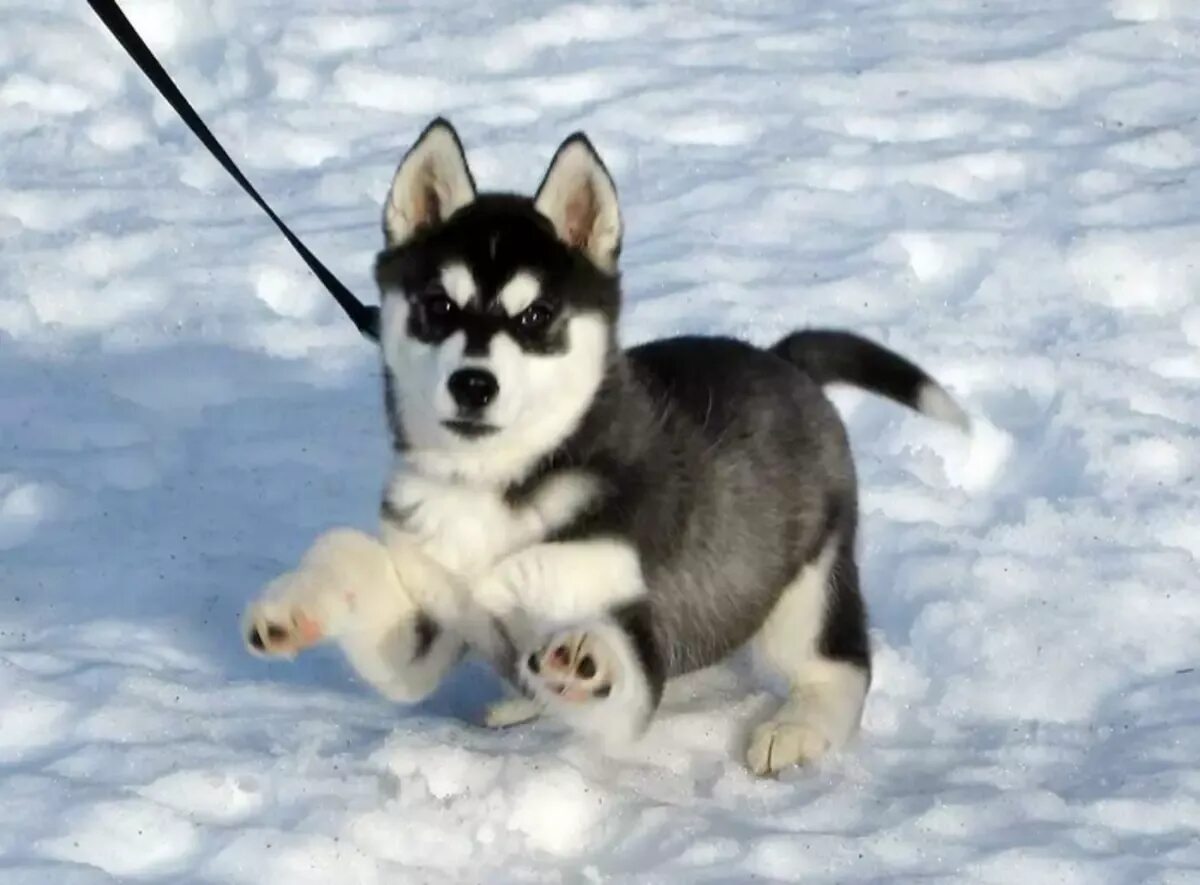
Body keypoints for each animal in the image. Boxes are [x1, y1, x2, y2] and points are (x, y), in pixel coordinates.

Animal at [243, 118, 964, 772]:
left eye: (537, 316)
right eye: (438, 306)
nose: (473, 384)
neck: (496, 484)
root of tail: (781, 358)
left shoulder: (631, 626)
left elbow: (617, 666)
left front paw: (583, 657)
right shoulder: (431, 622)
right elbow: (347, 551)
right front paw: (293, 606)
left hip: (808, 583)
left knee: (840, 664)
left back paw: (796, 727)